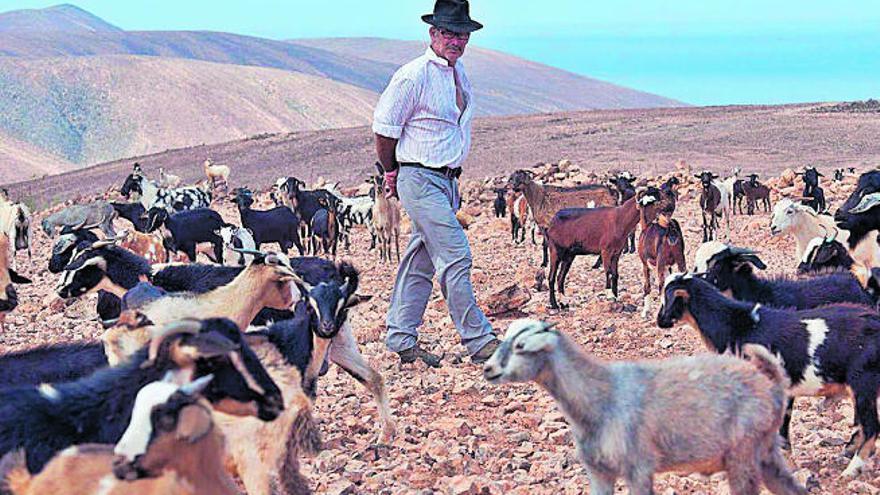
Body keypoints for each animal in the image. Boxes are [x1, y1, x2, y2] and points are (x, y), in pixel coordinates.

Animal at [656, 274, 880, 478]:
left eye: (667, 298)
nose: (659, 321)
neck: (738, 326)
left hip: (863, 383)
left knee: (871, 428)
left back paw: (851, 470)